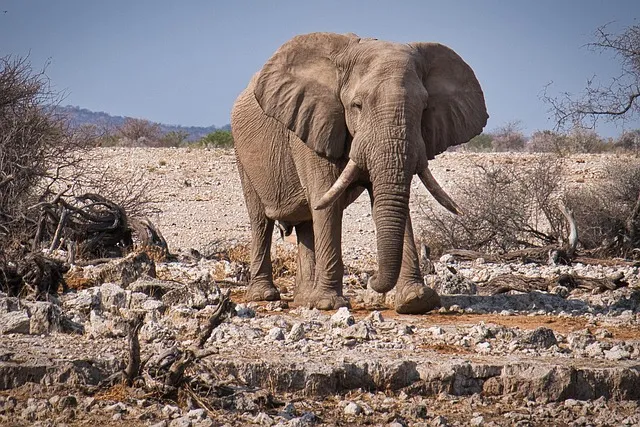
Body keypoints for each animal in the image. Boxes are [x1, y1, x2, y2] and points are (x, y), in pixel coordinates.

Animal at [231, 32, 488, 314]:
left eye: (424, 108)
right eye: (357, 105)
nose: (373, 280)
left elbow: (389, 201)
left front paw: (417, 300)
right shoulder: (313, 125)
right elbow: (326, 202)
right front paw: (329, 304)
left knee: (307, 224)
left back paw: (304, 299)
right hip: (242, 154)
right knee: (261, 221)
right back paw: (265, 296)